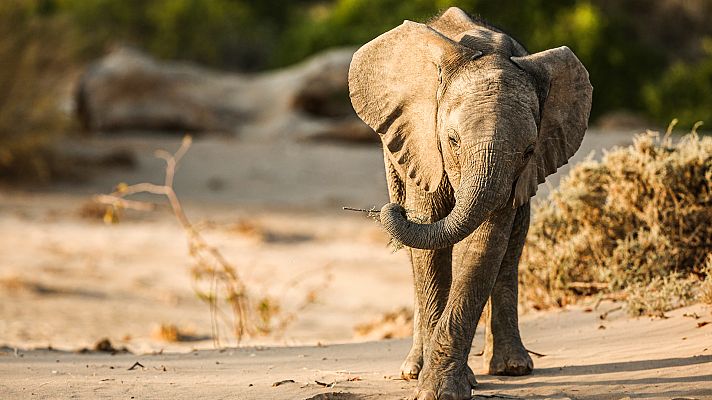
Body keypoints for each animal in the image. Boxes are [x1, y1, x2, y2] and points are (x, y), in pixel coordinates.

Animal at [348, 6, 592, 400]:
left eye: (528, 151)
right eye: (452, 140)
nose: (392, 210)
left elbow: (484, 245)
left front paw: (443, 389)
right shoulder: (423, 144)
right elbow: (430, 241)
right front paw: (434, 383)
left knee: (513, 245)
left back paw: (512, 368)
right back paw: (413, 369)